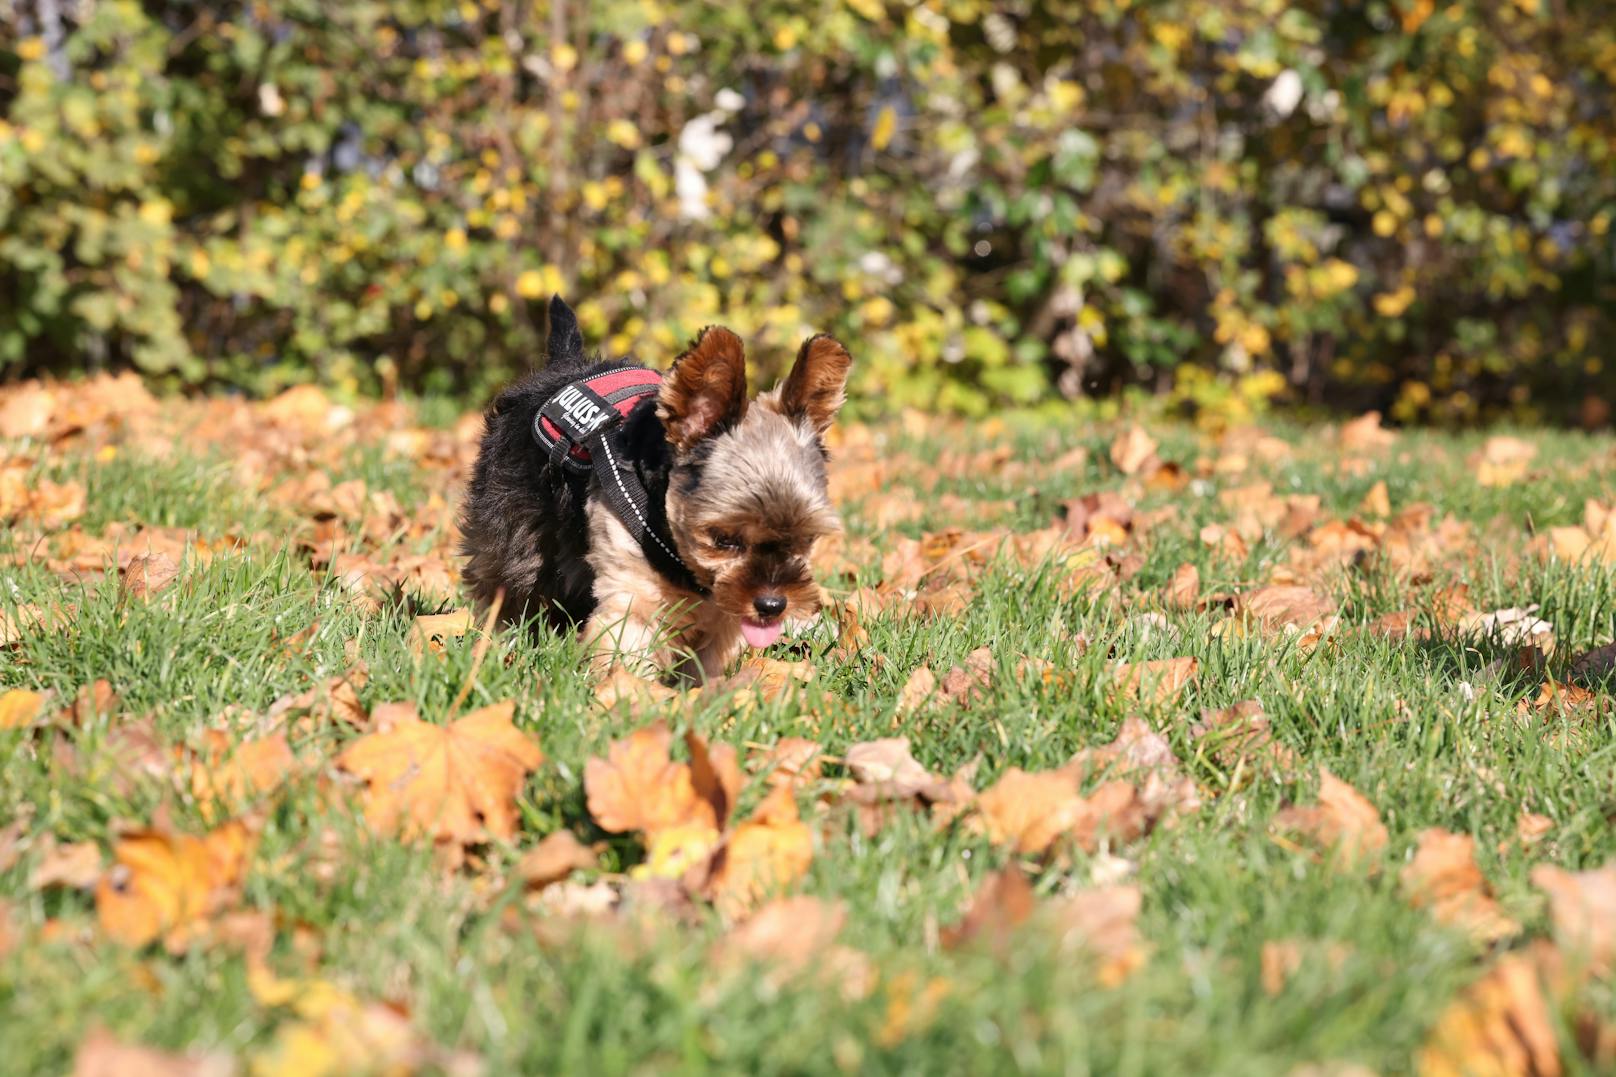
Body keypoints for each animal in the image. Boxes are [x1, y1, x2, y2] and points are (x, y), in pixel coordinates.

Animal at [462, 294, 853, 679]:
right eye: (722, 539)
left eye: (806, 539)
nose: (772, 605)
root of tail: (566, 361)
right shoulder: (631, 586)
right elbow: (629, 647)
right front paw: (633, 691)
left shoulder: (725, 610)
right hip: (510, 522)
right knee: (508, 578)